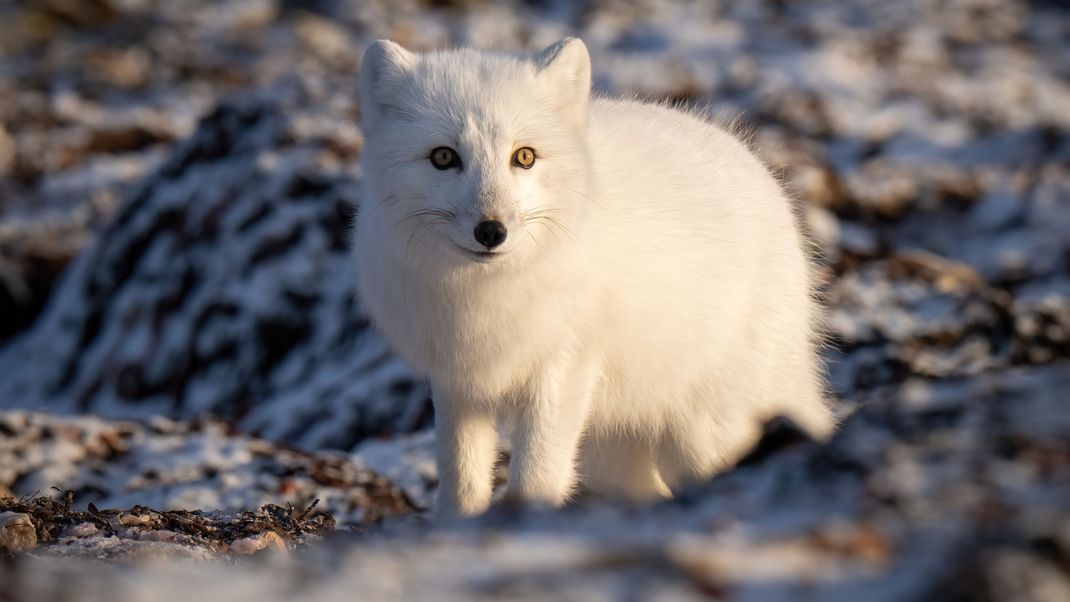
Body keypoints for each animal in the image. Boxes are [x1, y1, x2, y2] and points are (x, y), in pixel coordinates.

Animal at [353, 37, 834, 517]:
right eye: (443, 157)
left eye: (524, 157)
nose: (491, 231)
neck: (485, 294)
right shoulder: (460, 384)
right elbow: (461, 482)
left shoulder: (563, 368)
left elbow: (536, 476)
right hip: (610, 455)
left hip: (706, 434)